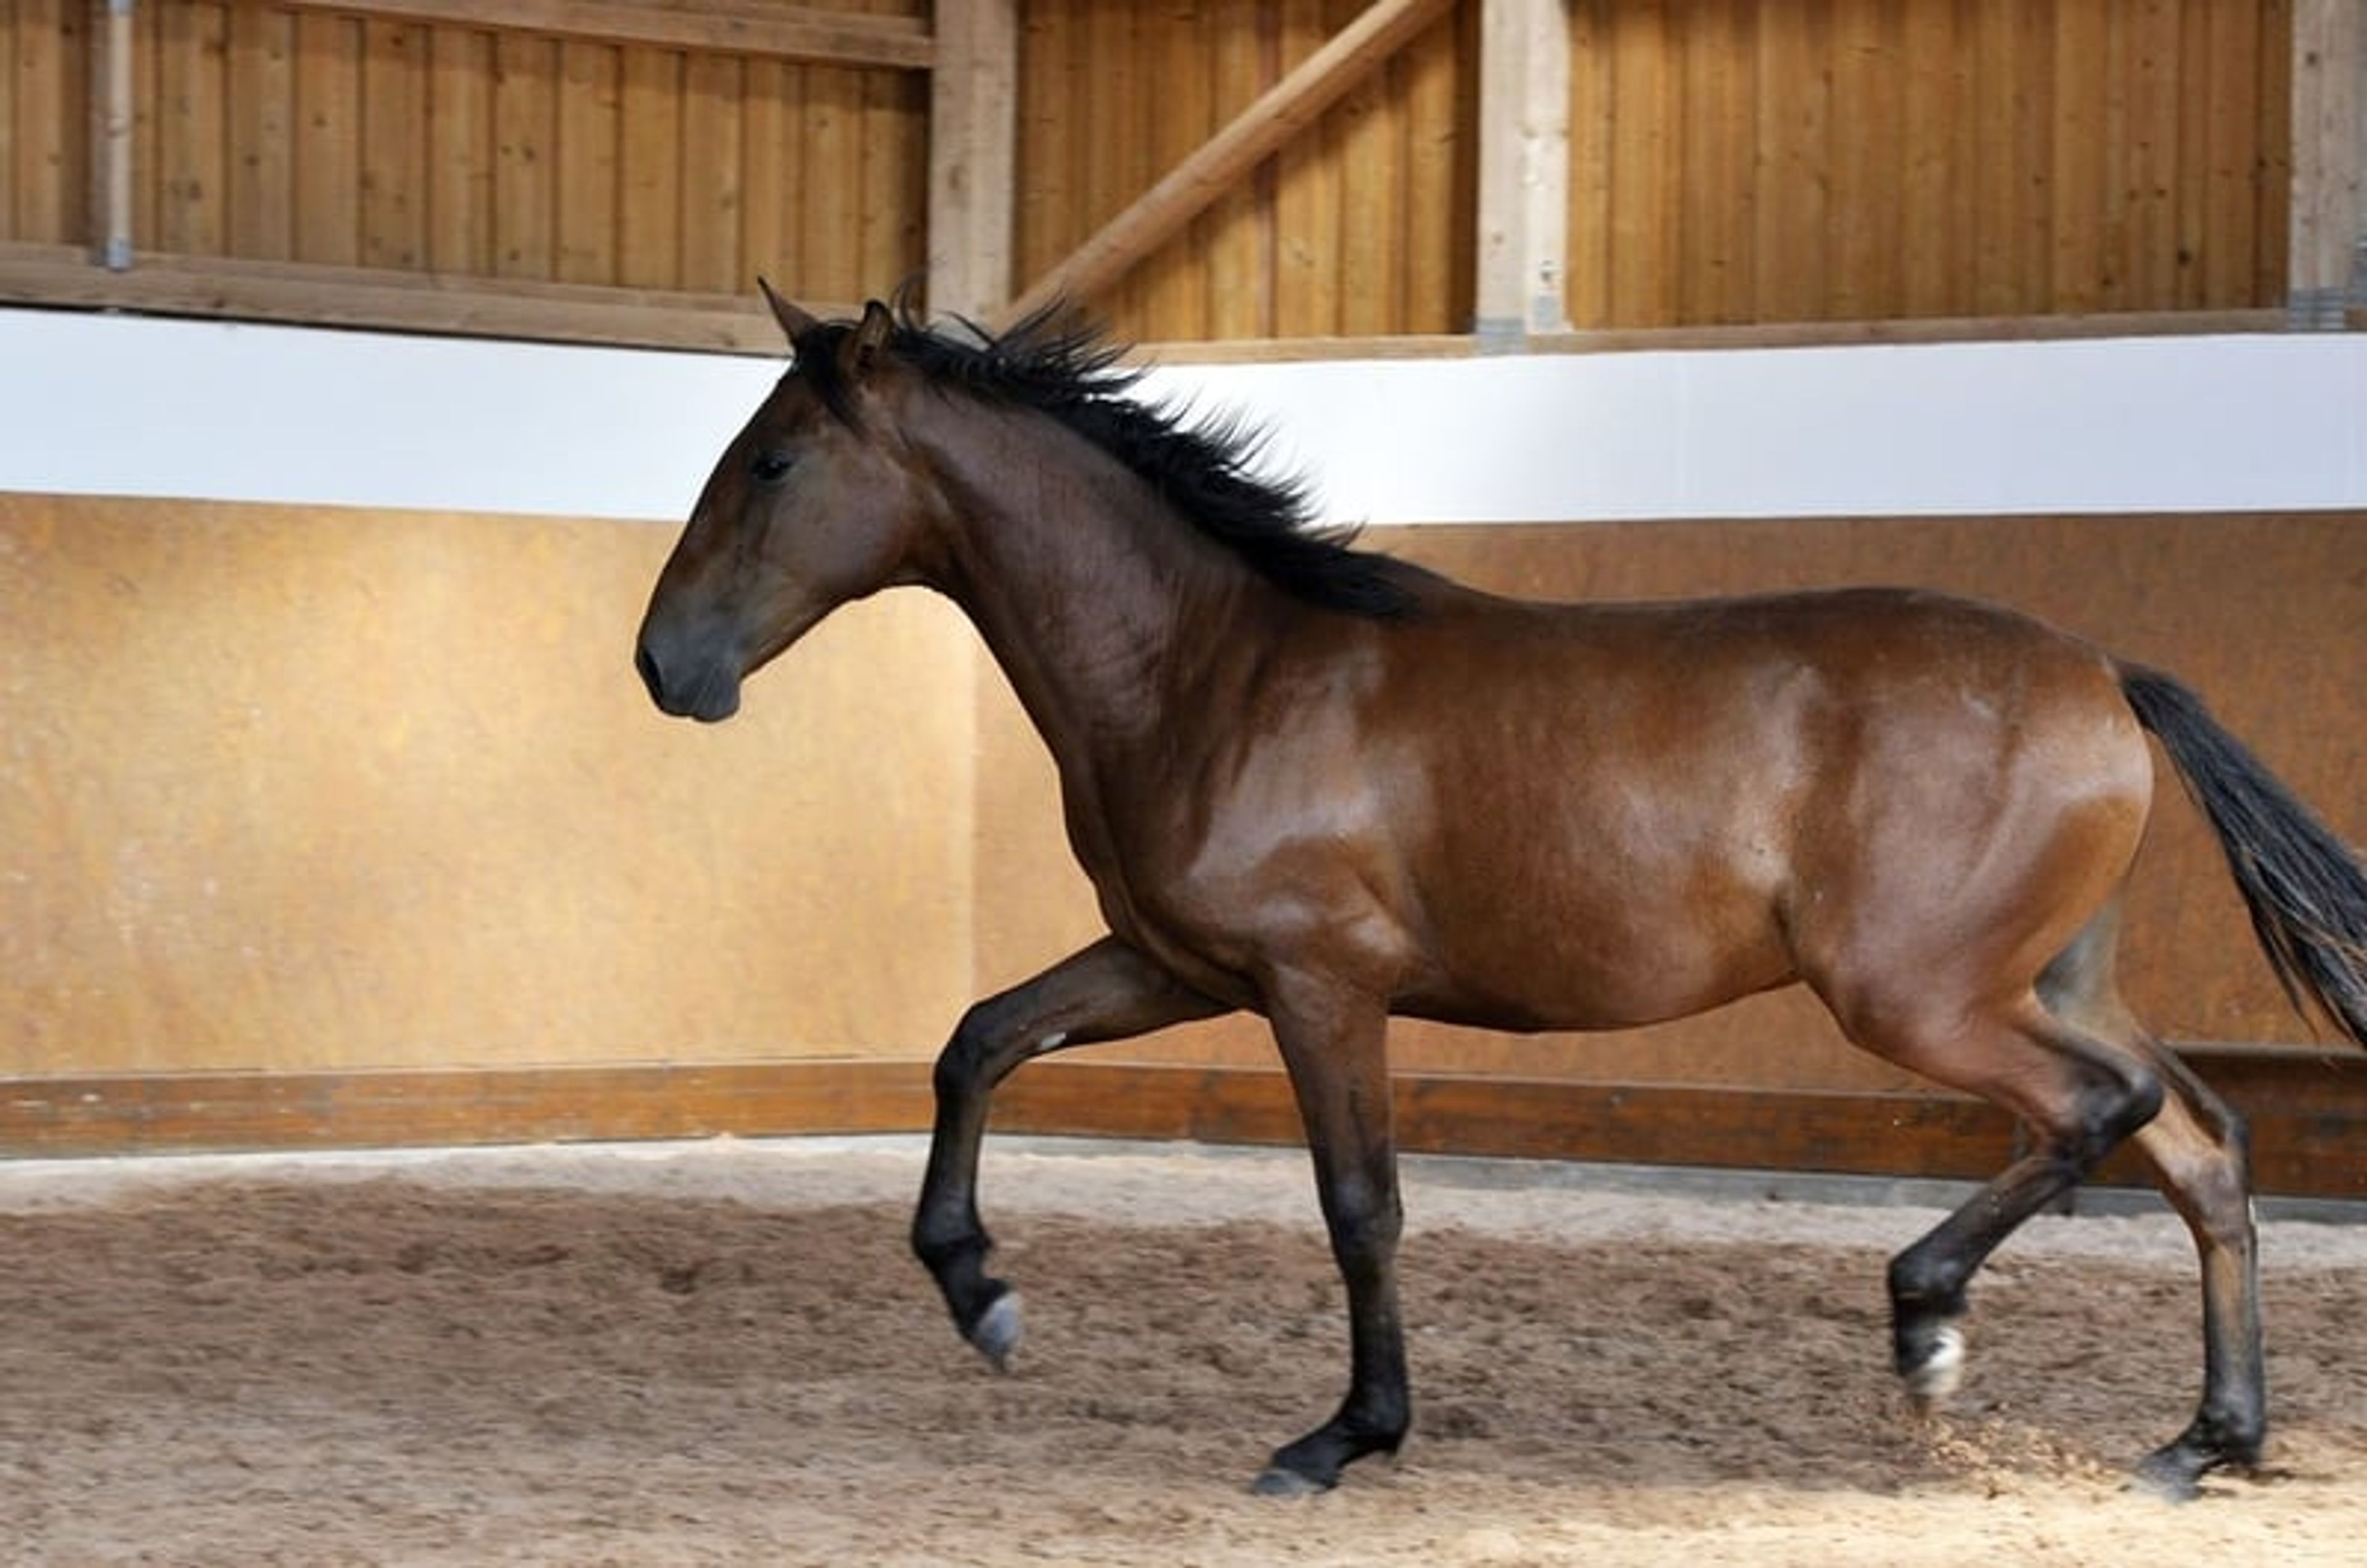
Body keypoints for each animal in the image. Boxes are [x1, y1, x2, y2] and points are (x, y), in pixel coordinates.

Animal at [634, 286, 2367, 1500]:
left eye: (772, 460)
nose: (665, 666)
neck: (1217, 665)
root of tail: (2106, 673)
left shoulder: (1318, 982)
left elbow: (1361, 1204)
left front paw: (1345, 1436)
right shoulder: (1170, 963)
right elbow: (978, 1039)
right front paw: (978, 1292)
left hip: (1922, 998)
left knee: (2100, 1114)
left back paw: (1929, 1322)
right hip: (2042, 981)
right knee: (2201, 1147)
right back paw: (2203, 1442)